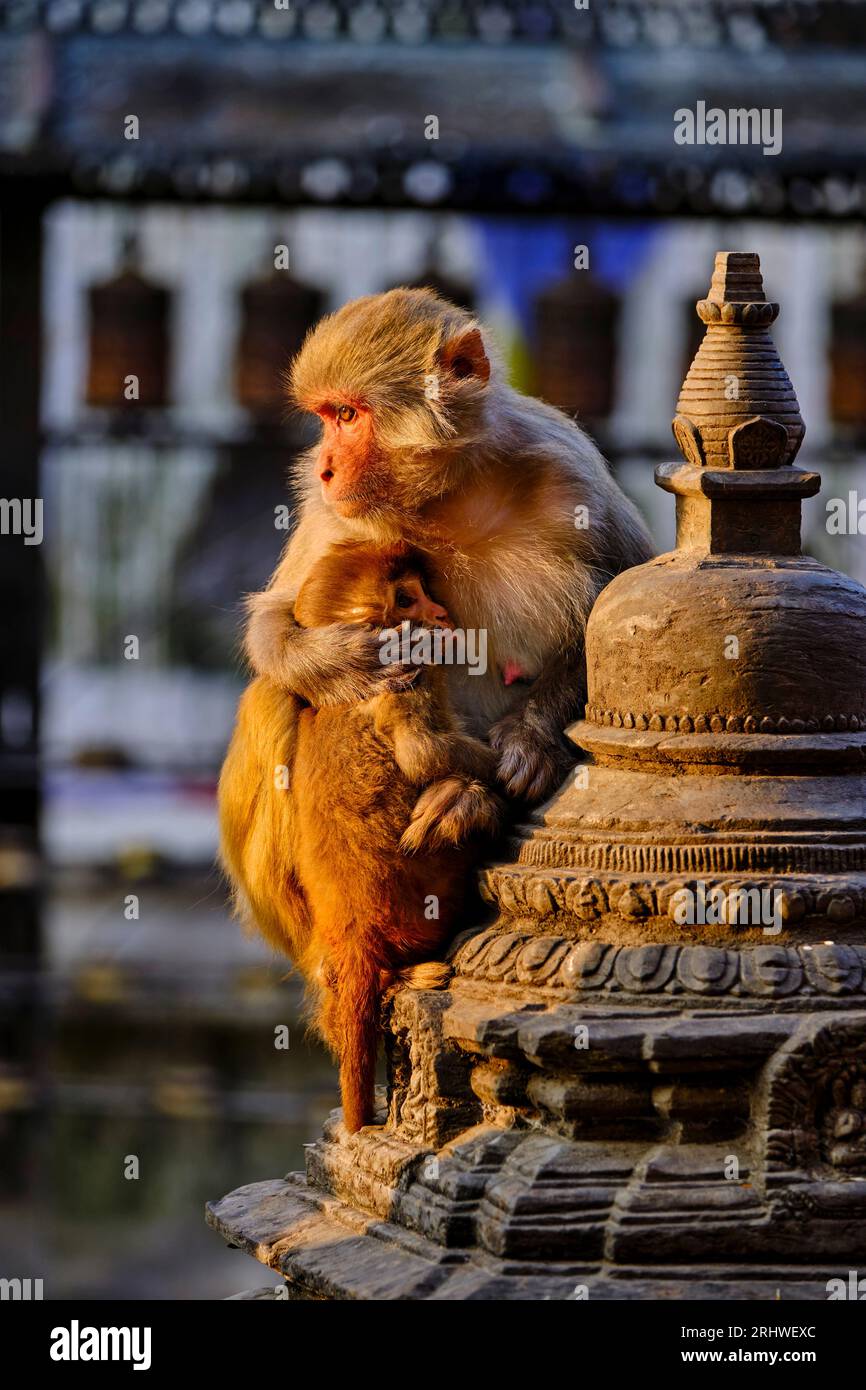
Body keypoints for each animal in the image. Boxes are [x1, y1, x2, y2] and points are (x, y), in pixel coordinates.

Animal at [219, 286, 652, 964]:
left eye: (348, 415)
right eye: (326, 417)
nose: (323, 466)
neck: (447, 496)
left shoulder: (570, 470)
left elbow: (616, 619)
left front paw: (531, 741)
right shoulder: (335, 511)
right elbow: (275, 619)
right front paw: (346, 662)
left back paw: (468, 801)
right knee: (273, 697)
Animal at [287, 538, 503, 1133]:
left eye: (424, 590)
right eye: (407, 598)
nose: (441, 614)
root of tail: (354, 935)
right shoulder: (410, 673)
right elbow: (423, 754)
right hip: (429, 907)